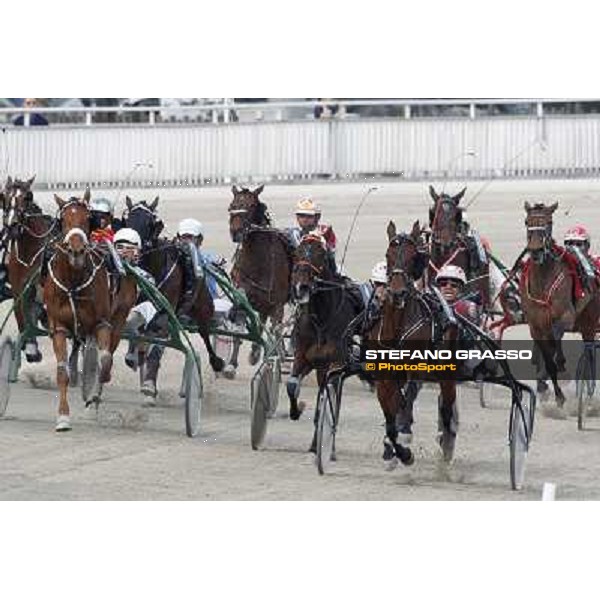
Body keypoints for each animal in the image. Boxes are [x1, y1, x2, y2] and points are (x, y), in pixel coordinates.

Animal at [1, 175, 57, 360]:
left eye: (27, 197)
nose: (11, 226)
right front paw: (30, 345)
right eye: (4, 196)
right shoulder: (18, 286)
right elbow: (21, 313)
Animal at [226, 185, 292, 376]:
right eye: (231, 206)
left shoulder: (277, 302)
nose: (236, 232)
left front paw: (280, 358)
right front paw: (231, 364)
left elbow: (276, 328)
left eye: (251, 205)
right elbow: (240, 322)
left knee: (273, 325)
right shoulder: (241, 293)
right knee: (262, 321)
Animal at [288, 230, 364, 422]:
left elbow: (328, 390)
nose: (301, 287)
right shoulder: (304, 356)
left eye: (321, 254)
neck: (321, 321)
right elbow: (292, 385)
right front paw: (296, 410)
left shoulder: (336, 361)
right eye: (296, 253)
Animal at [370, 220, 460, 468]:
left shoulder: (416, 369)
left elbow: (404, 405)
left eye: (413, 257)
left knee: (446, 410)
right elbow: (391, 418)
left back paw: (445, 447)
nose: (397, 292)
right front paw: (398, 451)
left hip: (446, 374)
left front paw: (403, 445)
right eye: (388, 255)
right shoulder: (384, 377)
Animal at [520, 199, 600, 406]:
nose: (536, 250)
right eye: (527, 221)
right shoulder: (536, 326)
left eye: (549, 222)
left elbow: (556, 337)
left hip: (589, 323)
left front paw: (561, 370)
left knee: (589, 352)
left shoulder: (566, 316)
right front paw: (555, 393)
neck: (543, 282)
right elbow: (548, 359)